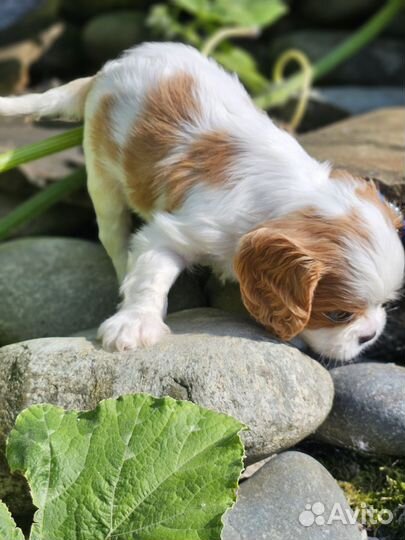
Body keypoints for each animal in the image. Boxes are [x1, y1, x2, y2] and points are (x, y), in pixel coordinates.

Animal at [1, 43, 402, 362]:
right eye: (339, 315)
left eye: (385, 305)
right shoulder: (177, 231)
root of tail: (106, 71)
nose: (371, 335)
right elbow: (151, 274)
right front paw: (136, 323)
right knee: (113, 234)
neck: (289, 194)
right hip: (102, 173)